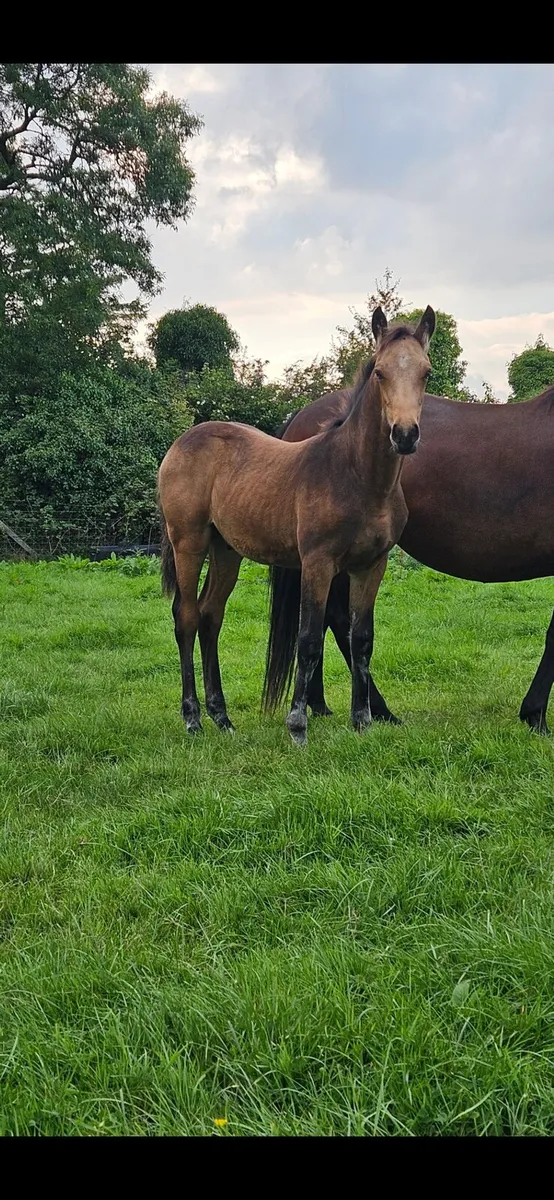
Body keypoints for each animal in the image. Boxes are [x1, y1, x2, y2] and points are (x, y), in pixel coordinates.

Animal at [158, 305, 436, 745]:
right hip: (189, 541)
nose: (405, 435)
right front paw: (298, 725)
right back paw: (193, 718)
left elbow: (362, 639)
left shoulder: (371, 565)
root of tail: (183, 441)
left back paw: (222, 717)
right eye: (380, 373)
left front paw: (362, 721)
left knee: (210, 615)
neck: (357, 477)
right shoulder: (318, 564)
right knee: (185, 617)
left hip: (226, 550)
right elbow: (308, 640)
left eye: (426, 373)